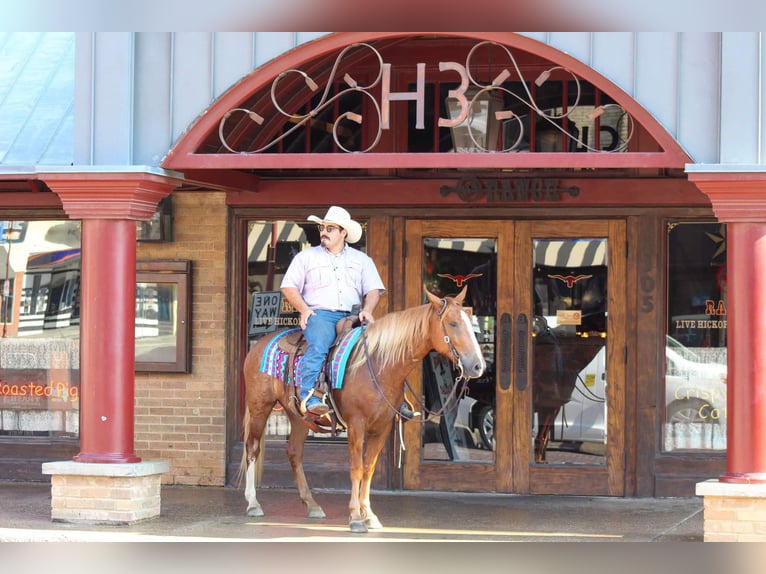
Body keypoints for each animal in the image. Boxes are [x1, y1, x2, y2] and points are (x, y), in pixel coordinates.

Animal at [240, 288, 486, 536]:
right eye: (453, 323)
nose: (478, 366)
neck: (379, 365)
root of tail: (260, 343)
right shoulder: (356, 424)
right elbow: (356, 467)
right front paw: (355, 517)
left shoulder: (382, 426)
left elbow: (368, 468)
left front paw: (369, 515)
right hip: (260, 406)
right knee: (252, 448)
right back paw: (253, 503)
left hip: (298, 416)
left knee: (294, 452)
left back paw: (312, 505)